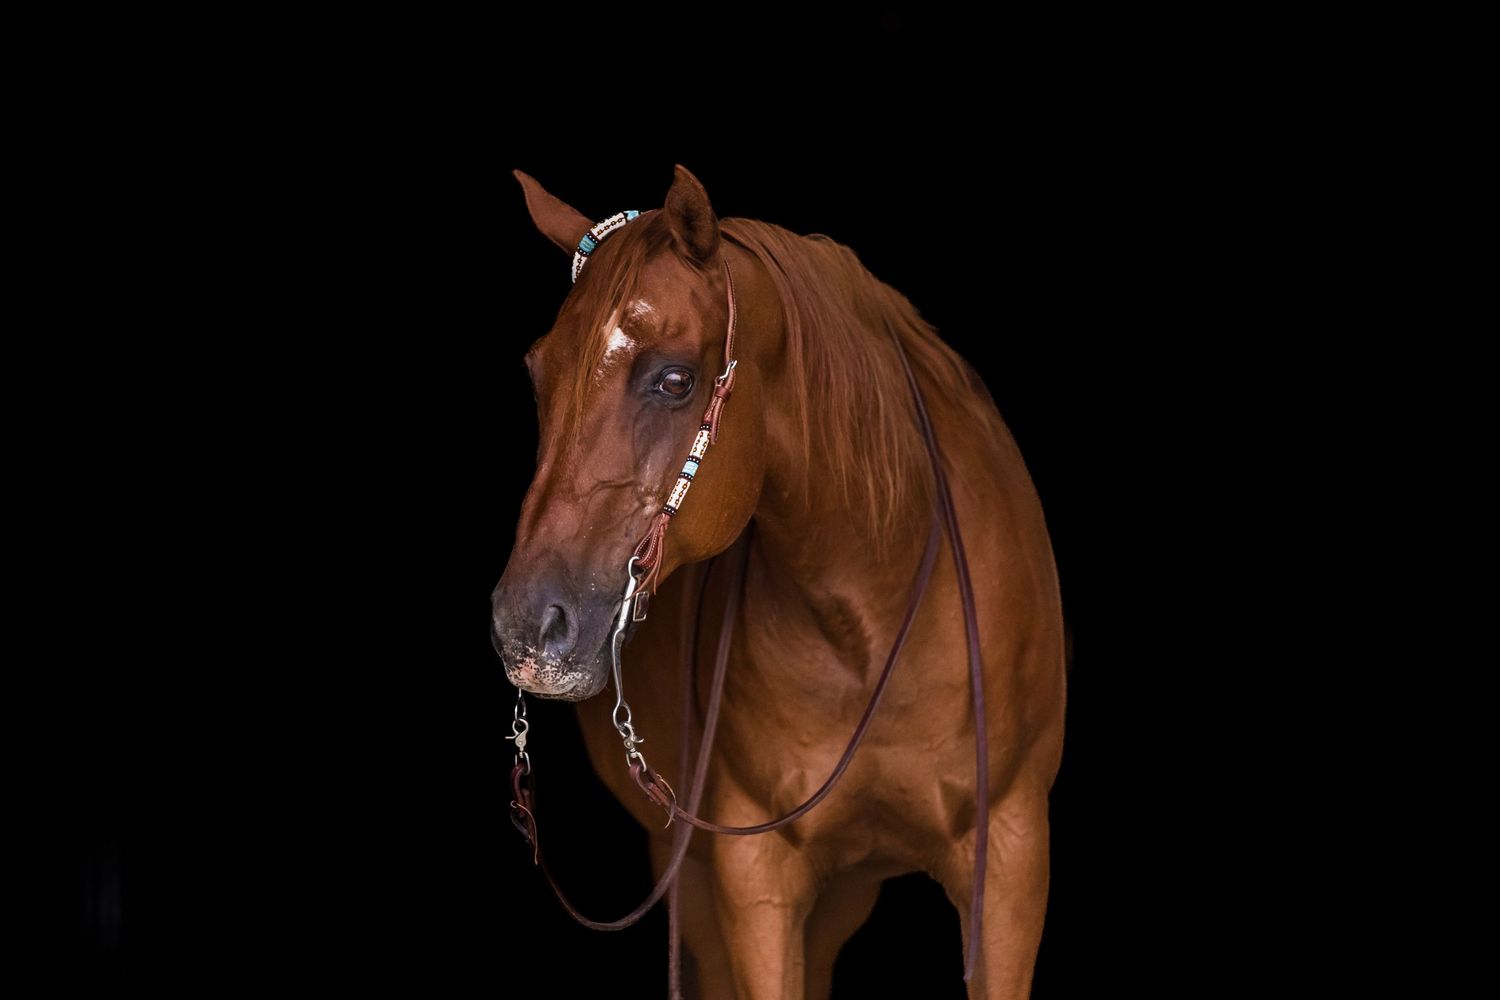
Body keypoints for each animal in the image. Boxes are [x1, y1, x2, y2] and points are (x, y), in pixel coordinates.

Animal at [491, 164, 1067, 999]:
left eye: (674, 380)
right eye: (540, 373)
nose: (526, 625)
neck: (877, 614)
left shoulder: (1012, 860)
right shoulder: (754, 874)